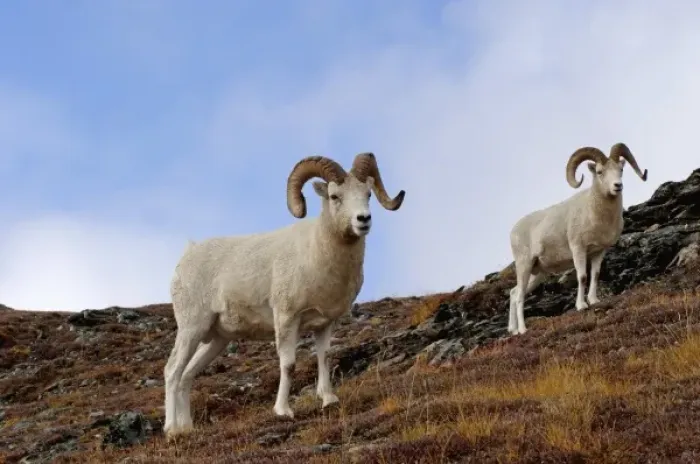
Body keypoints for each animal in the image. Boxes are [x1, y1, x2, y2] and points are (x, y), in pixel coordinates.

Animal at [163, 153, 405, 439]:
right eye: (335, 196)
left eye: (367, 193)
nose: (363, 219)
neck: (318, 255)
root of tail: (187, 256)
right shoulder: (287, 318)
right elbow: (288, 364)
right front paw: (283, 411)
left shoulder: (325, 323)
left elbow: (324, 356)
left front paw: (329, 400)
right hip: (192, 328)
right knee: (172, 371)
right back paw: (171, 430)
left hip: (216, 340)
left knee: (186, 376)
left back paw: (186, 428)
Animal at [507, 143, 647, 335]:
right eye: (600, 171)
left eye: (620, 169)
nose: (617, 186)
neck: (595, 214)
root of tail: (513, 231)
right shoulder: (578, 249)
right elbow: (582, 276)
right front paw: (581, 305)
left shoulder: (598, 252)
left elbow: (595, 274)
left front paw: (594, 301)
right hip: (524, 266)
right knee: (520, 296)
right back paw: (522, 330)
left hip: (538, 273)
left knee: (514, 293)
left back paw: (512, 330)